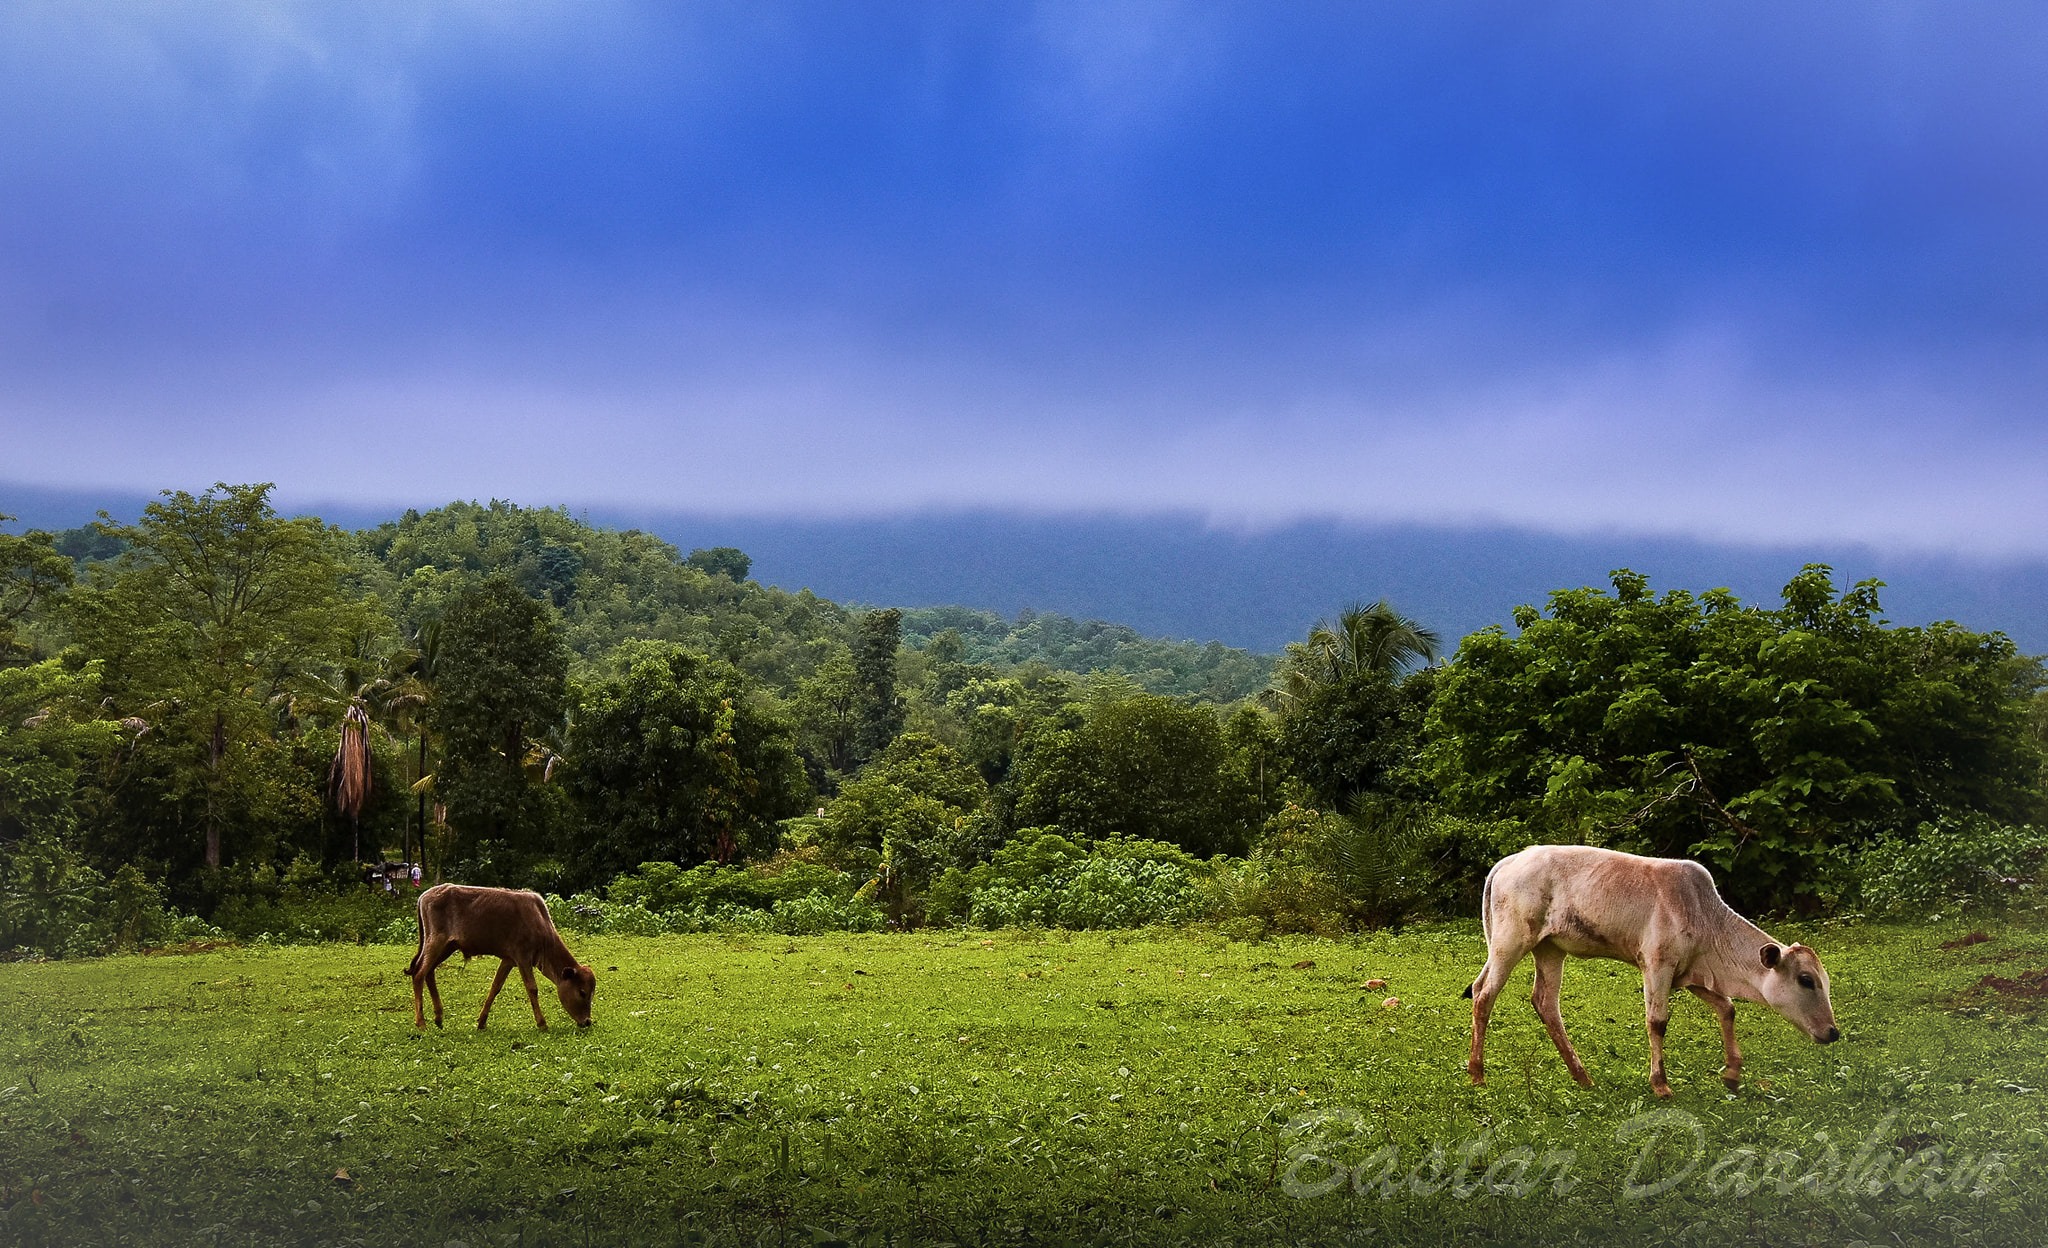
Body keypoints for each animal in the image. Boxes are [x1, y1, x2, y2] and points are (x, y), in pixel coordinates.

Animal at [407, 881, 598, 1028]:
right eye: (582, 992)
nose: (587, 1021)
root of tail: (424, 896)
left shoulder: (508, 960)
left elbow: (495, 987)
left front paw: (482, 1021)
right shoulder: (522, 957)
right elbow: (532, 988)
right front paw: (542, 1023)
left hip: (448, 946)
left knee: (429, 973)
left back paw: (439, 1017)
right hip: (436, 941)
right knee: (419, 974)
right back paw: (421, 1023)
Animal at [1458, 840, 1843, 1098]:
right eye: (1805, 980)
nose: (1832, 1032)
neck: (1706, 919)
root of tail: (1509, 861)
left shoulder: (1691, 973)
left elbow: (1727, 1008)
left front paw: (1732, 1074)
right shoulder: (1657, 964)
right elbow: (1657, 1022)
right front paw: (1661, 1085)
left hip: (1550, 949)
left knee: (1544, 1002)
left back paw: (1581, 1076)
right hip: (1511, 940)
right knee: (1484, 994)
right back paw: (1477, 1074)